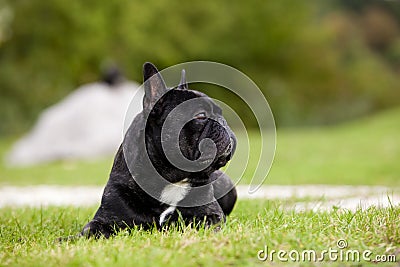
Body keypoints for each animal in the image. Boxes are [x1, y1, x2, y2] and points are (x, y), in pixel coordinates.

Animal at [81, 62, 238, 239]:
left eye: (220, 113)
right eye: (200, 116)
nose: (223, 121)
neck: (169, 178)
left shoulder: (210, 215)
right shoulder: (106, 218)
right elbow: (90, 231)